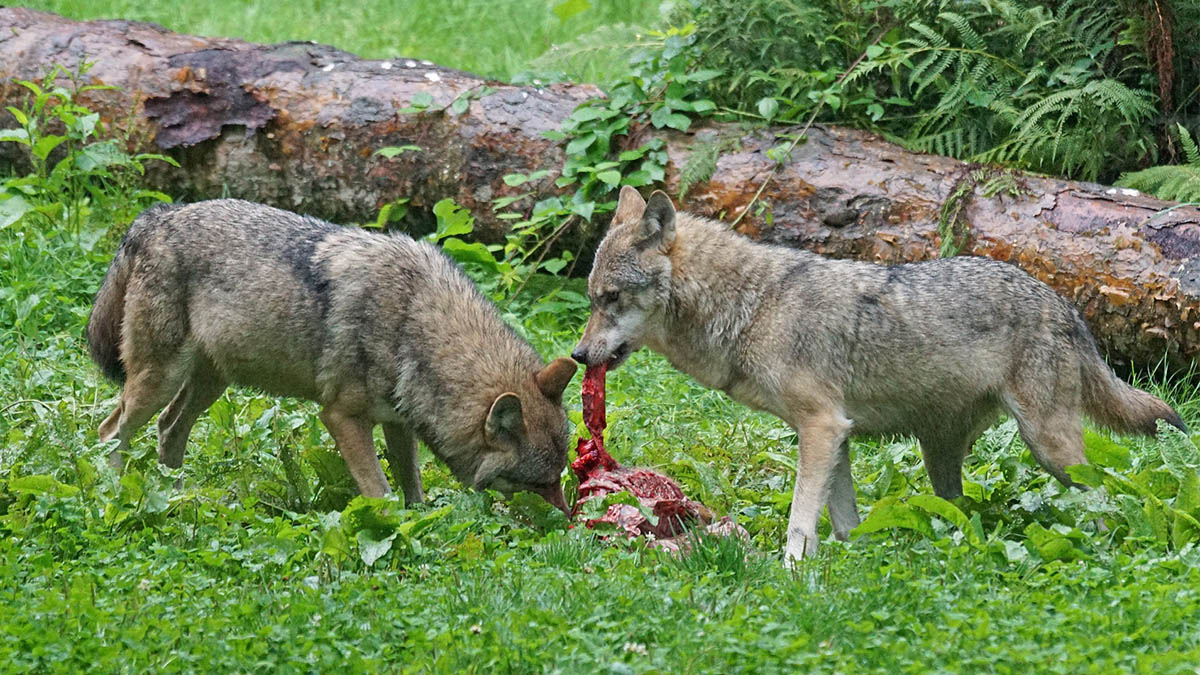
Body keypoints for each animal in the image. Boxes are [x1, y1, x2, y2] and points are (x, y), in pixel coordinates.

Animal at [87, 199, 576, 509]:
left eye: (558, 478)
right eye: (540, 483)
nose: (566, 520)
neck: (413, 319)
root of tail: (157, 216)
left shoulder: (399, 422)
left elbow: (412, 487)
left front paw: (422, 523)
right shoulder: (341, 417)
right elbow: (380, 493)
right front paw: (391, 529)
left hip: (210, 384)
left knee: (168, 430)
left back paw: (176, 494)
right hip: (158, 380)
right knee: (111, 431)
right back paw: (118, 491)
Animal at [576, 182, 1185, 557]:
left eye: (610, 299)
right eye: (591, 299)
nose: (579, 356)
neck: (753, 306)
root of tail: (1063, 303)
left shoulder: (821, 428)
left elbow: (800, 519)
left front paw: (790, 571)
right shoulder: (835, 435)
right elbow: (844, 521)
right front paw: (857, 560)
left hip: (1049, 446)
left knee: (1108, 496)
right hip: (942, 454)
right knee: (957, 509)